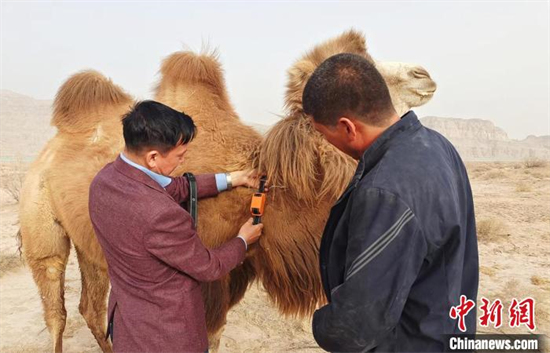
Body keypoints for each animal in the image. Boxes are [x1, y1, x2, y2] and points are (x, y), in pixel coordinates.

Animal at [19, 30, 438, 352]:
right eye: (359, 65)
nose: (424, 74)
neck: (271, 190)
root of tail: (50, 147)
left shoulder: (232, 275)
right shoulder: (204, 274)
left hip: (90, 240)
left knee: (92, 305)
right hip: (40, 217)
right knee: (56, 306)